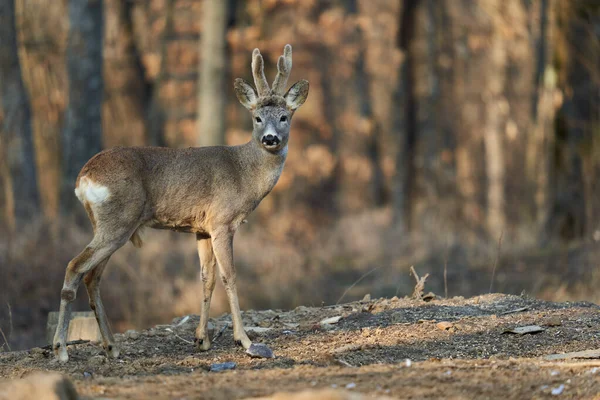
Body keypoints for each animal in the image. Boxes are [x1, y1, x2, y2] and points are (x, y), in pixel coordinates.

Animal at [52, 44, 310, 362]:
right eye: (257, 118)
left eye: (284, 117)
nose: (271, 139)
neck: (244, 173)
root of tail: (83, 178)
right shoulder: (223, 221)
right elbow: (230, 276)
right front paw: (244, 340)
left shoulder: (201, 229)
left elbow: (207, 278)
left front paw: (202, 340)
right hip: (117, 223)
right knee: (75, 267)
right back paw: (61, 349)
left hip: (110, 226)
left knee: (92, 277)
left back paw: (112, 346)